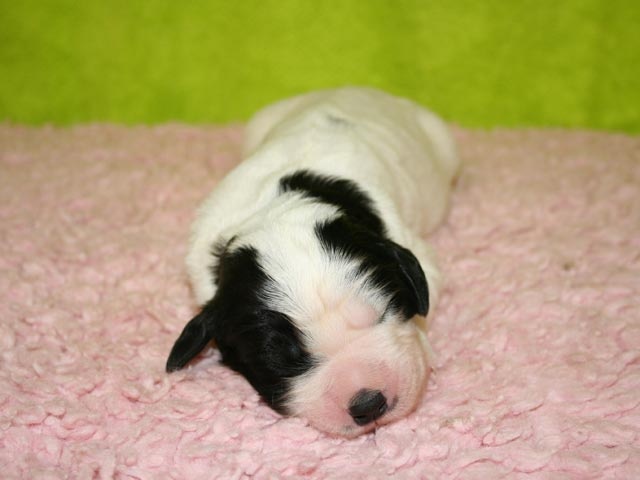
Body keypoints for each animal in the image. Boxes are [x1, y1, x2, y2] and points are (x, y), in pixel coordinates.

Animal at [166, 87, 459, 437]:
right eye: (281, 359)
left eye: (384, 312)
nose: (369, 403)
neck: (278, 213)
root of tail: (349, 89)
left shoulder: (415, 249)